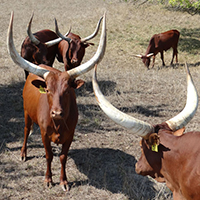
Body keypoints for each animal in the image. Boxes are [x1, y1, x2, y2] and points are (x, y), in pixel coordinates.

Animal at [7, 11, 106, 191]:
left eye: (67, 91)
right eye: (47, 90)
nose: (57, 112)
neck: (58, 124)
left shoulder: (70, 135)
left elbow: (62, 157)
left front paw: (63, 181)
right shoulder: (44, 135)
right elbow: (49, 155)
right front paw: (48, 179)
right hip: (26, 112)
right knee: (26, 130)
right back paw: (23, 153)